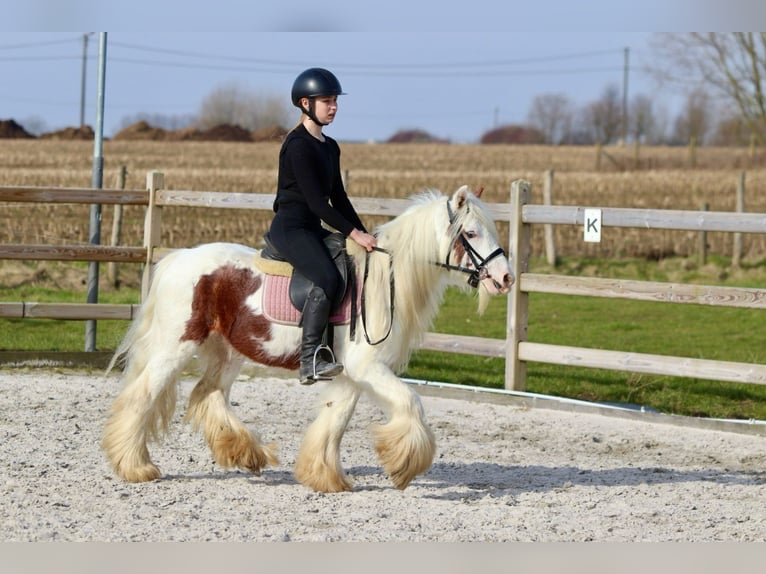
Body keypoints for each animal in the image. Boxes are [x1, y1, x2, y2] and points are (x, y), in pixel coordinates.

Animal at [100, 186, 510, 496]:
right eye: (471, 233)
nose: (506, 278)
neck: (383, 279)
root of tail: (178, 259)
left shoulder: (349, 374)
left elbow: (335, 420)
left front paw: (325, 477)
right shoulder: (368, 367)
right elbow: (411, 402)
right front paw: (404, 466)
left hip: (228, 351)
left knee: (208, 394)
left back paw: (247, 455)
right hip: (177, 347)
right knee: (143, 396)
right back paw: (135, 467)